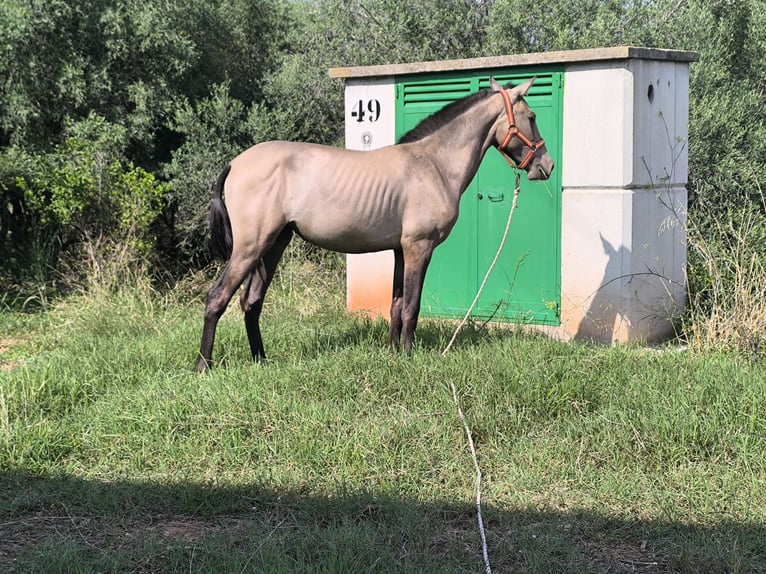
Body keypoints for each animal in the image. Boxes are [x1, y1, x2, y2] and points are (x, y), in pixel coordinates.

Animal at [196, 77, 554, 372]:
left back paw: (261, 360)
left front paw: (393, 351)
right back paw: (204, 366)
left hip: (273, 244)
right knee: (217, 297)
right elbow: (411, 306)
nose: (546, 165)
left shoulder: (400, 250)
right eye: (532, 117)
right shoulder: (419, 247)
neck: (434, 164)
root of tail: (235, 163)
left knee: (251, 301)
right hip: (251, 246)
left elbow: (396, 305)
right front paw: (408, 355)